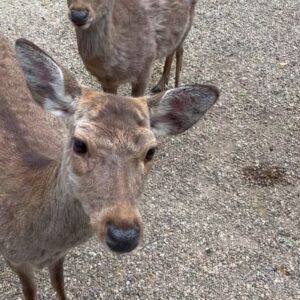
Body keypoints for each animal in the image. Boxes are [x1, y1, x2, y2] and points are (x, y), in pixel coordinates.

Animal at [0, 32, 218, 300]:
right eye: (79, 144)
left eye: (151, 151)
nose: (123, 236)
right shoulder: (15, 260)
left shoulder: (58, 256)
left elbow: (59, 284)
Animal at [67, 0, 198, 96]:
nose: (78, 15)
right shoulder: (107, 82)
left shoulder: (145, 67)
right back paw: (162, 85)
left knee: (179, 49)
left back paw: (175, 87)